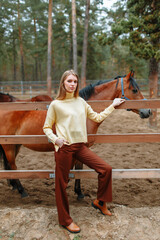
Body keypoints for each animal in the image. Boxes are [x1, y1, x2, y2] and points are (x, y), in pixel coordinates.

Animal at [0, 71, 151, 199]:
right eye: (135, 90)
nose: (148, 111)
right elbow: (77, 168)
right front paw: (77, 192)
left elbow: (77, 169)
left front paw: (75, 190)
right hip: (9, 146)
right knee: (13, 166)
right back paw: (22, 191)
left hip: (15, 144)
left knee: (10, 166)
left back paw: (14, 186)